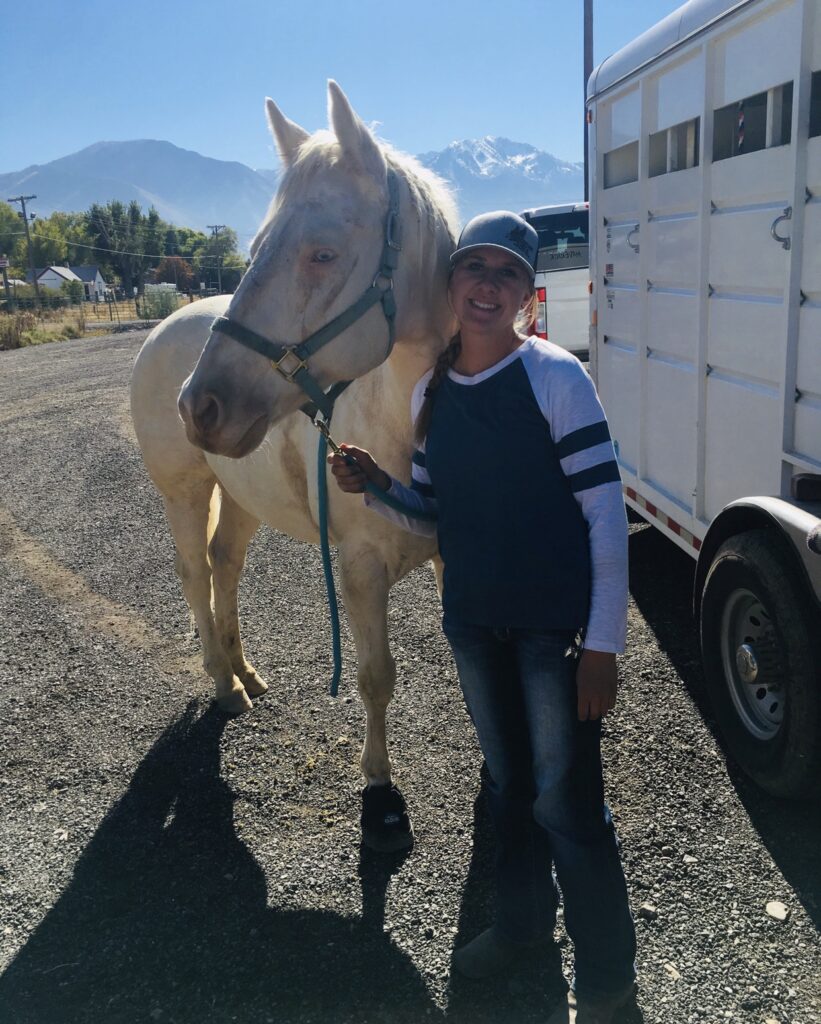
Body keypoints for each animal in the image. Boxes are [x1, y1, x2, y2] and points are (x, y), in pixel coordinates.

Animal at [131, 81, 456, 847]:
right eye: (254, 248)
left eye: (323, 254)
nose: (200, 405)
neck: (402, 422)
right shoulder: (361, 573)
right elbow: (375, 676)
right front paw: (378, 784)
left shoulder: (450, 555)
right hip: (185, 492)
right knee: (194, 573)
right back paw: (223, 684)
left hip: (242, 498)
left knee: (224, 564)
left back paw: (245, 671)